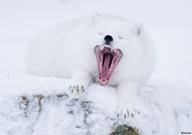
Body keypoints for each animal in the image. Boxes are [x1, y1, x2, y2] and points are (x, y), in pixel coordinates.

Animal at [25, 13, 154, 119]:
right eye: (100, 33)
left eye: (121, 37)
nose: (108, 37)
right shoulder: (79, 61)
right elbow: (82, 73)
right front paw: (77, 87)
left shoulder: (133, 76)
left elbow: (128, 91)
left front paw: (126, 109)